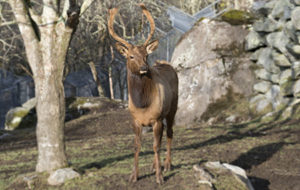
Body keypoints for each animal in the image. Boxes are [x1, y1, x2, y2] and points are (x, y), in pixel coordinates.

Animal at [108, 3, 178, 184]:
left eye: (146, 55)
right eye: (131, 56)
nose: (144, 68)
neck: (143, 104)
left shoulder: (157, 118)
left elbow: (156, 146)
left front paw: (159, 178)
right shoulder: (135, 120)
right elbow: (137, 146)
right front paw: (134, 176)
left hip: (172, 108)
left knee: (169, 133)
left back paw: (167, 165)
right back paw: (155, 166)